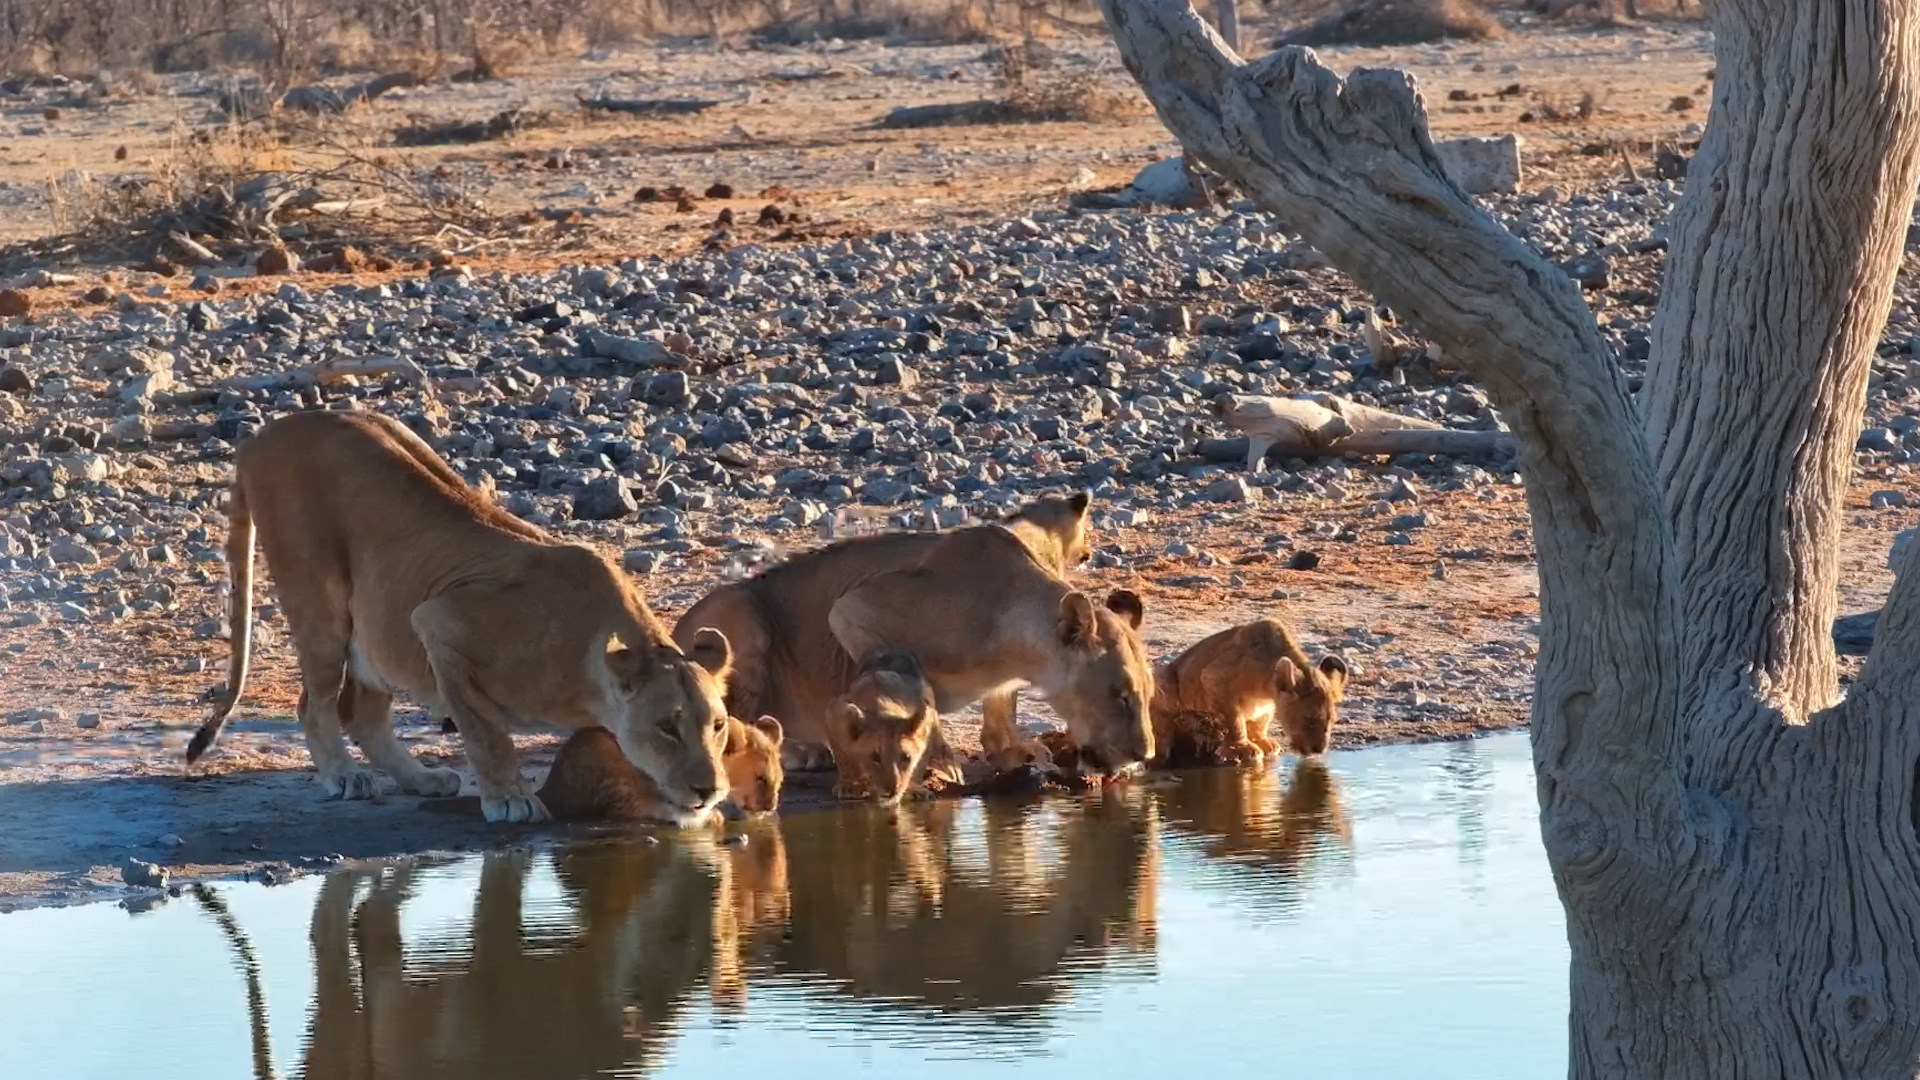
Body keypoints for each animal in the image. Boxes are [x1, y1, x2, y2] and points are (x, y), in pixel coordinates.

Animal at [185, 409, 733, 824]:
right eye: (667, 727)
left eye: (718, 726)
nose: (708, 790)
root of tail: (263, 434)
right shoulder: (438, 621)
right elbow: (485, 731)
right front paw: (510, 799)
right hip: (320, 601)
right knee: (315, 704)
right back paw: (344, 775)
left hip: (379, 627)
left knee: (362, 712)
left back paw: (422, 779)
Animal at [671, 491, 1096, 782]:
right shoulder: (858, 608)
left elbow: (1002, 703)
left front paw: (1012, 751)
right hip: (742, 611)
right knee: (735, 722)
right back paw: (804, 750)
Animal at [829, 524, 1156, 778]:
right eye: (1120, 697)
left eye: (1148, 694)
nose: (1146, 755)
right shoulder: (851, 610)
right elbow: (917, 695)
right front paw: (939, 760)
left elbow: (1001, 706)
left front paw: (1010, 751)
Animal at [1150, 617, 1350, 765]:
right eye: (1308, 720)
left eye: (1332, 721)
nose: (1318, 750)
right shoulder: (1213, 677)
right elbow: (1234, 719)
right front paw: (1241, 749)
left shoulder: (1268, 704)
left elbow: (1261, 720)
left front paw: (1262, 741)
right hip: (1165, 681)